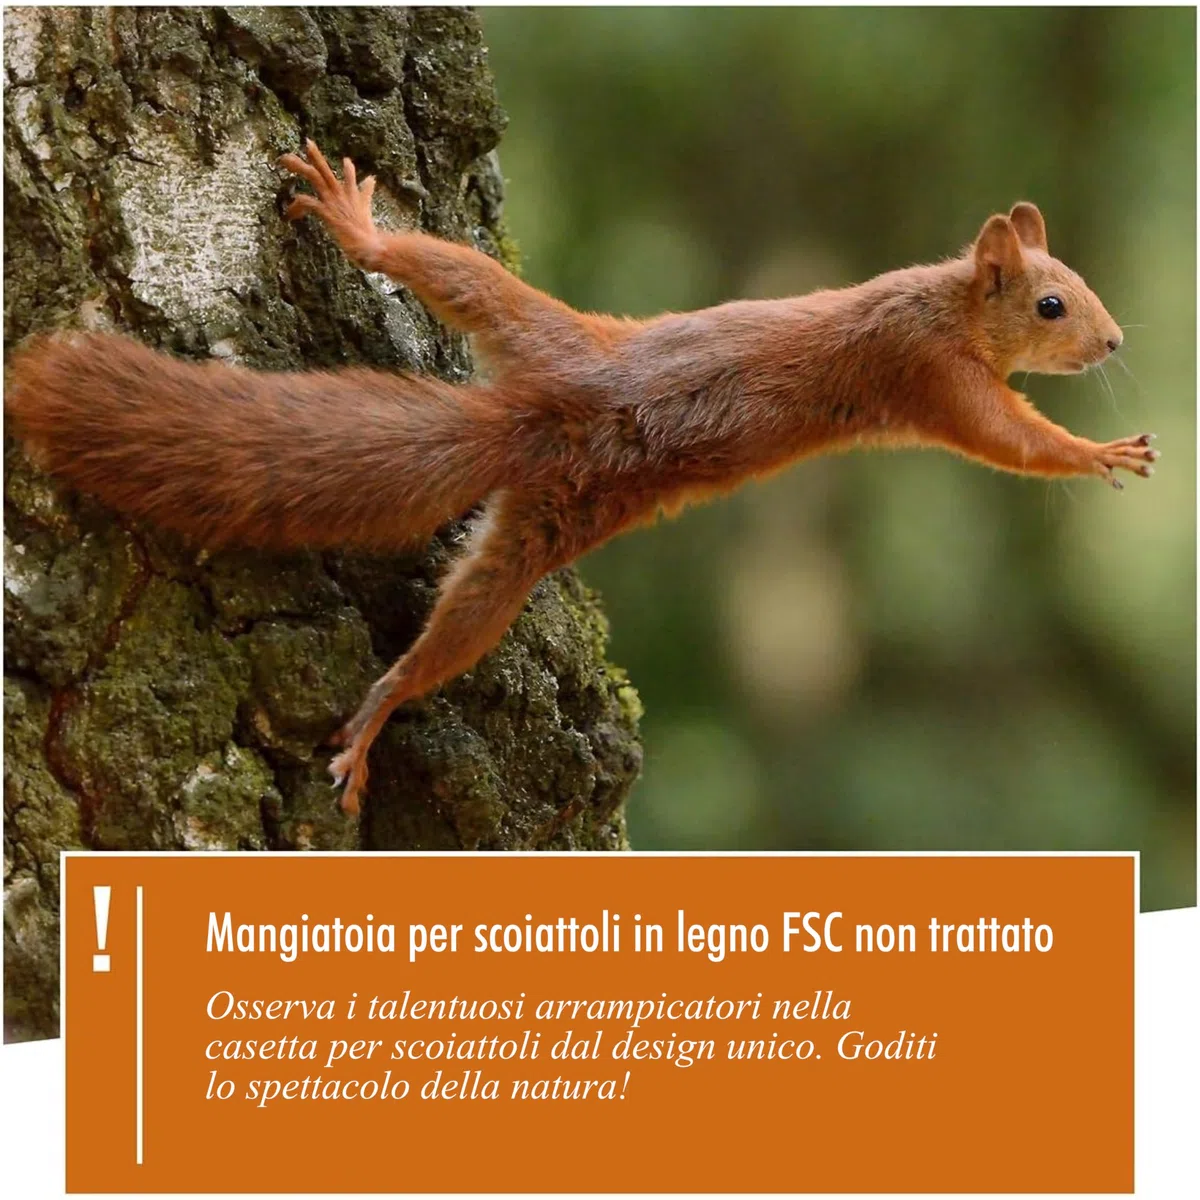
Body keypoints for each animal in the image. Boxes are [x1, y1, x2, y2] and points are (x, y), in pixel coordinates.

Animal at [5, 140, 1158, 816]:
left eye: (1080, 284)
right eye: (1052, 304)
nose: (1115, 342)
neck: (946, 300)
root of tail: (541, 419)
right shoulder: (932, 373)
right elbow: (1009, 441)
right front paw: (1098, 452)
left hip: (534, 447)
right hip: (548, 363)